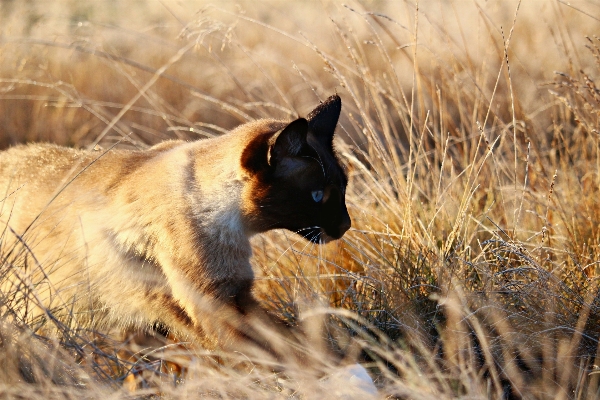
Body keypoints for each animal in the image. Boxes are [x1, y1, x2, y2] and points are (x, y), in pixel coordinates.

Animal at [0, 94, 352, 360]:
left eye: (343, 188)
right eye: (318, 195)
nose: (346, 225)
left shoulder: (232, 293)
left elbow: (293, 343)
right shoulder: (216, 301)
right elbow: (289, 353)